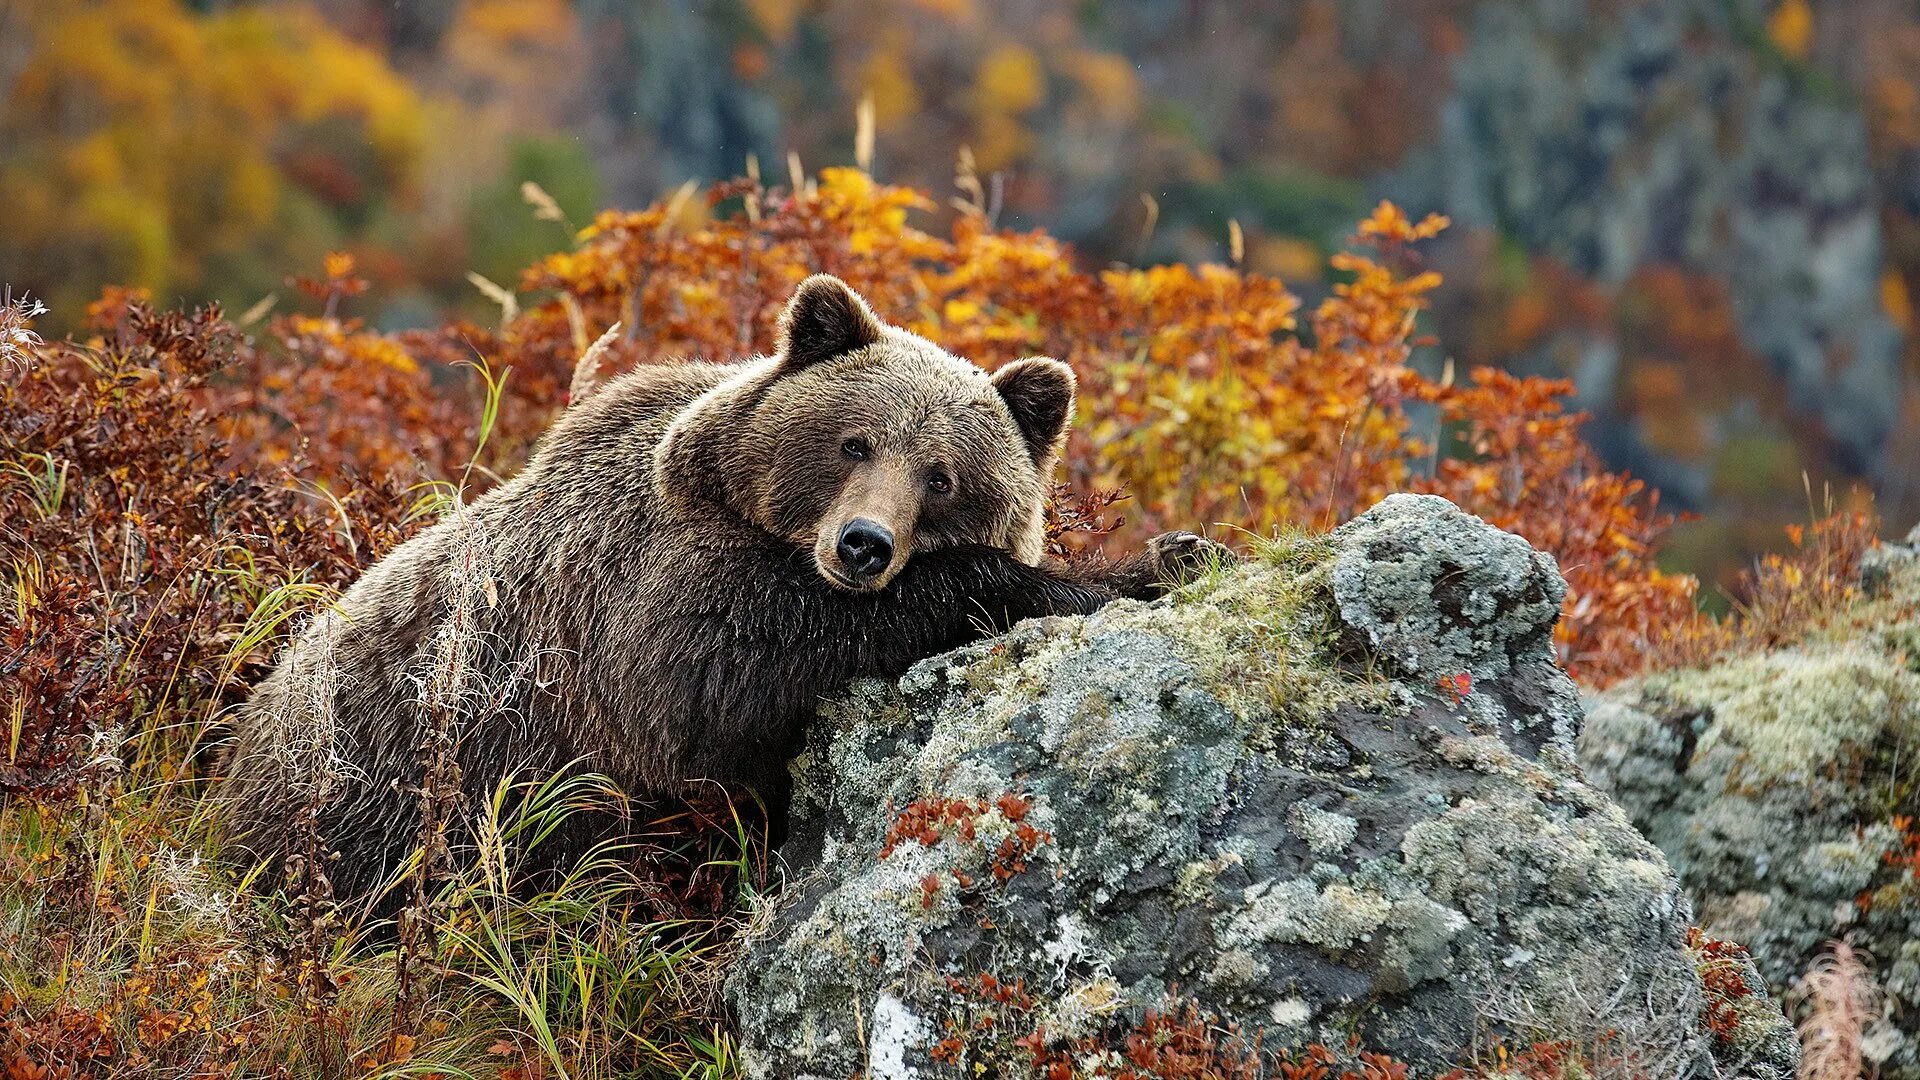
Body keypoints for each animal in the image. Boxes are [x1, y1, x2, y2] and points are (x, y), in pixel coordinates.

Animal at [217, 272, 1221, 895]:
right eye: (854, 442)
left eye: (942, 476)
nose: (863, 544)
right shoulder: (634, 609)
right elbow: (712, 684)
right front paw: (1107, 575)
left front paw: (1172, 551)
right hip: (377, 802)